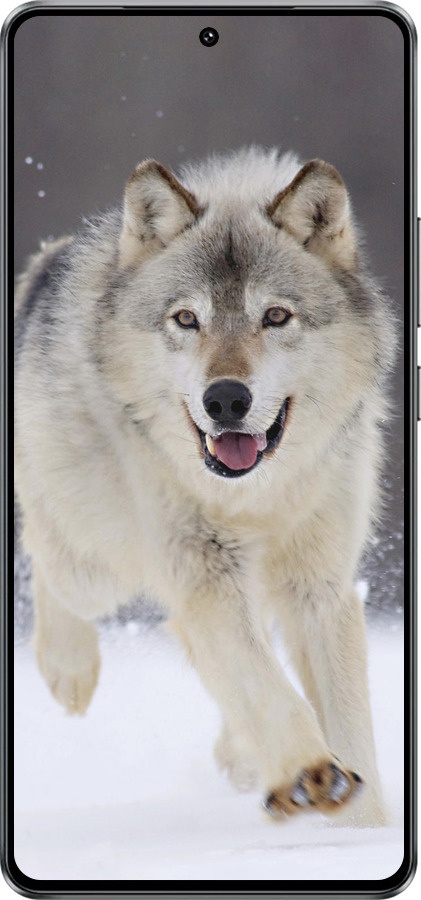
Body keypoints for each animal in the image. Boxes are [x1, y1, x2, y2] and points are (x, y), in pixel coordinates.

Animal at [14, 147, 395, 826]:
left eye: (275, 316)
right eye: (187, 319)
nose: (225, 400)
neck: (255, 497)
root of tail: (47, 260)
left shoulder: (319, 586)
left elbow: (348, 721)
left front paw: (362, 826)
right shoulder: (204, 575)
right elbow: (267, 687)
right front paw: (309, 773)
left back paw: (241, 757)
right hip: (99, 565)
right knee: (46, 555)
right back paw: (69, 671)